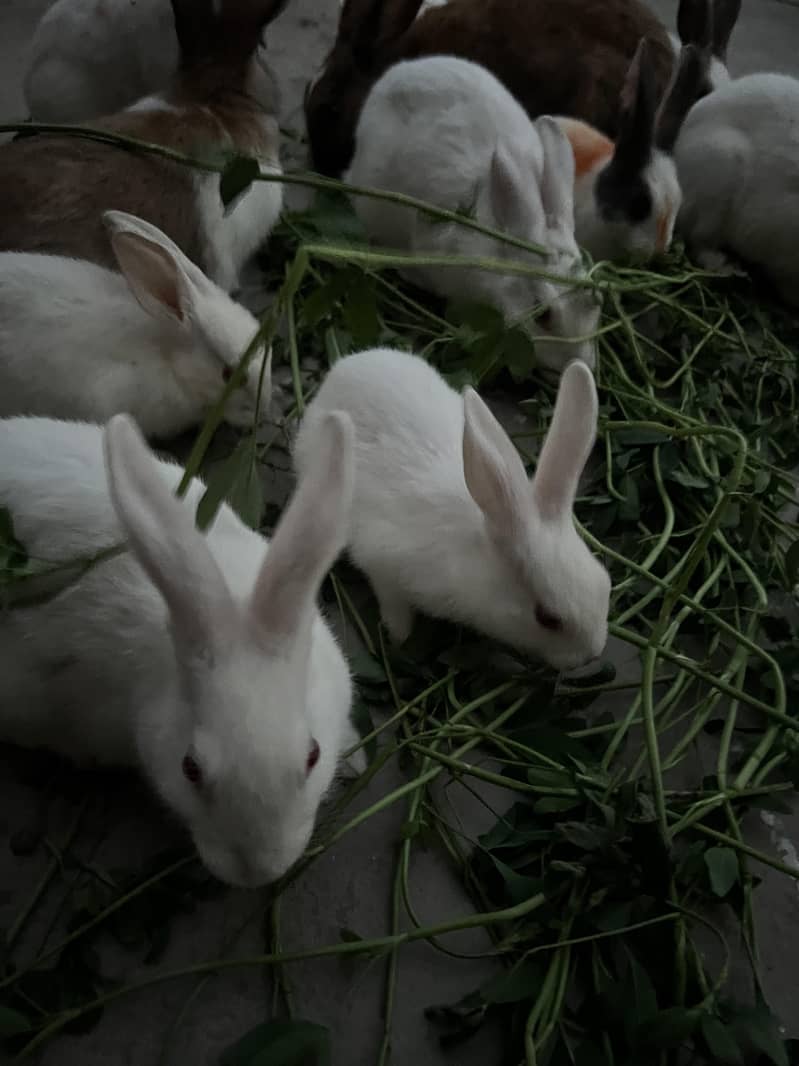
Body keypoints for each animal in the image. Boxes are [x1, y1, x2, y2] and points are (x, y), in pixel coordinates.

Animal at [293, 348, 611, 670]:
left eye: (605, 581)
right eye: (548, 618)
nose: (593, 653)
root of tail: (343, 368)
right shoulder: (383, 567)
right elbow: (394, 606)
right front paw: (399, 637)